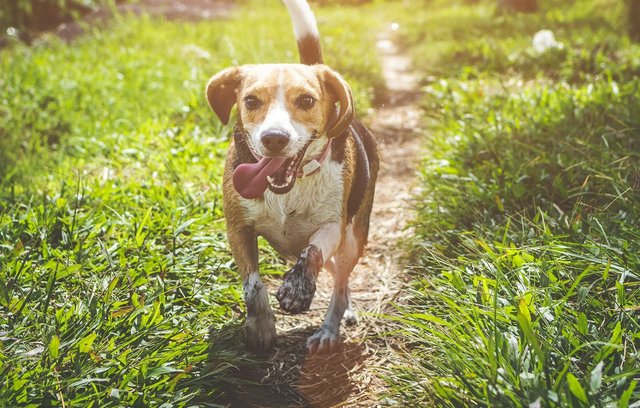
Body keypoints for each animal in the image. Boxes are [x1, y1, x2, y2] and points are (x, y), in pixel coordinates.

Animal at [205, 0, 378, 352]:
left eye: (307, 100)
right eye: (250, 100)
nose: (274, 138)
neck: (290, 188)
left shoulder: (332, 227)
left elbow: (312, 252)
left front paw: (297, 289)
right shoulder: (237, 228)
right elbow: (253, 284)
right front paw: (260, 325)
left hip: (353, 239)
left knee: (339, 285)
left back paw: (329, 329)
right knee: (337, 277)